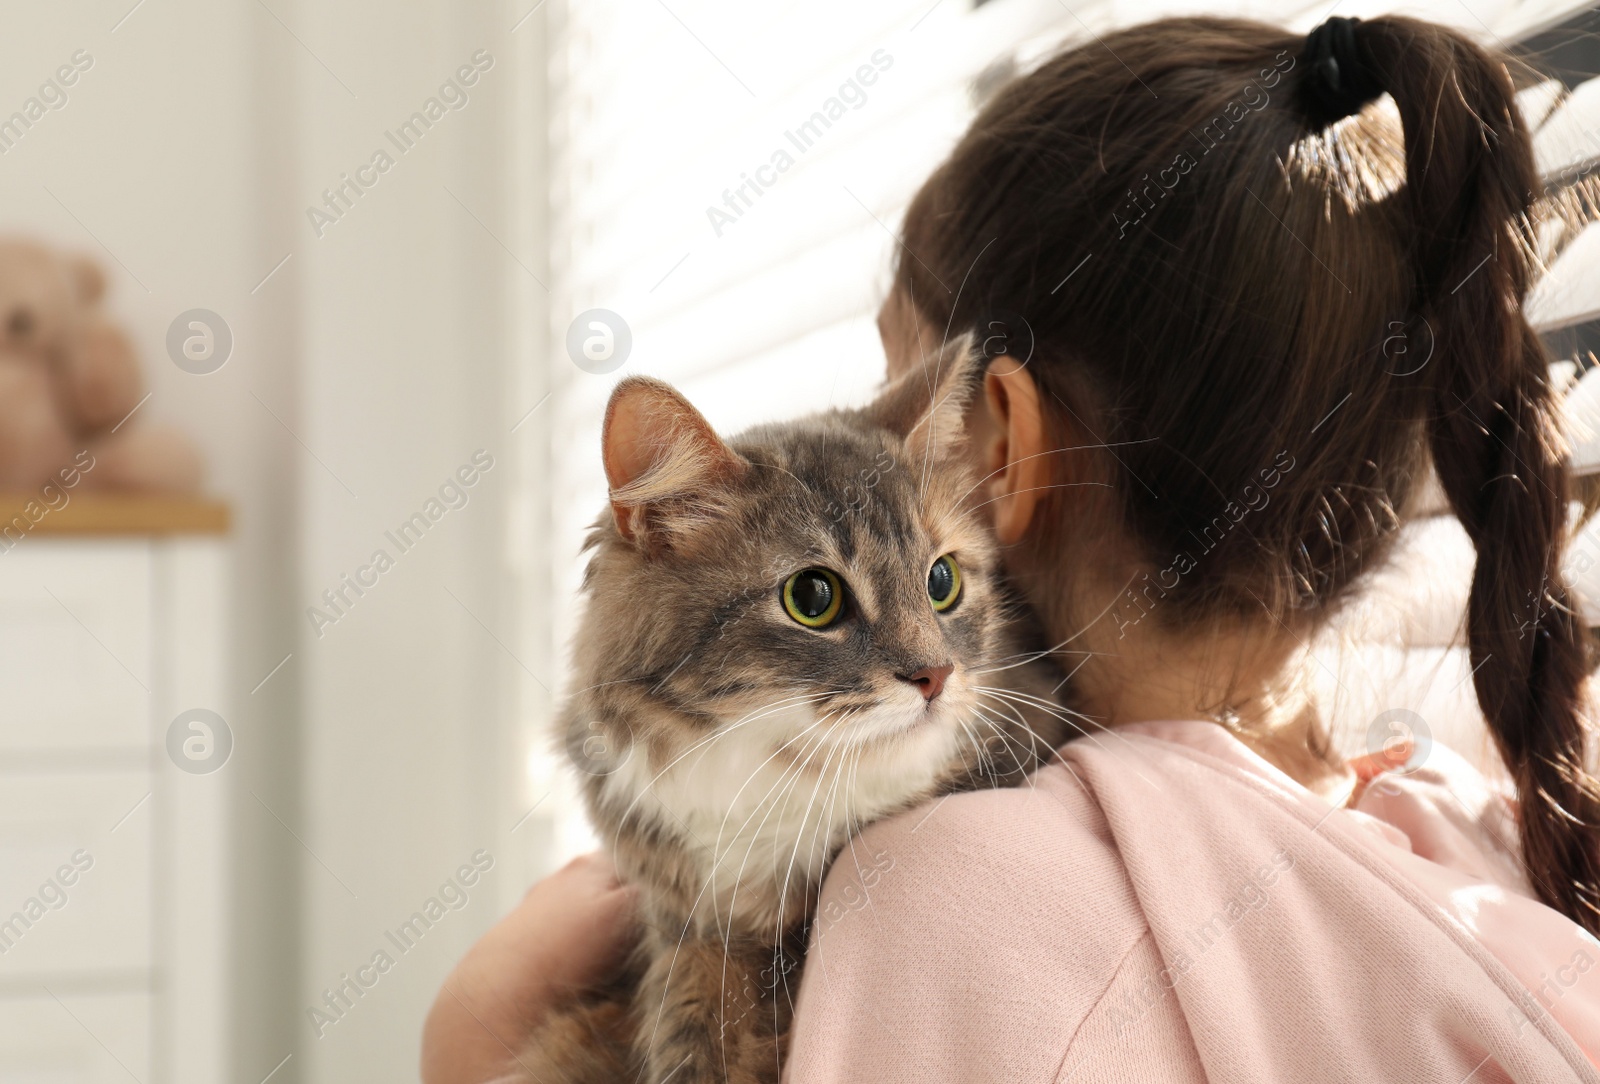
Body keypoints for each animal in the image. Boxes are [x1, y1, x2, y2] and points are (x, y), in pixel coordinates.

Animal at [518, 338, 1075, 1084]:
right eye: (813, 598)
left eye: (942, 581)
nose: (935, 676)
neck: (777, 789)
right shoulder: (688, 927)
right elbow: (686, 1030)